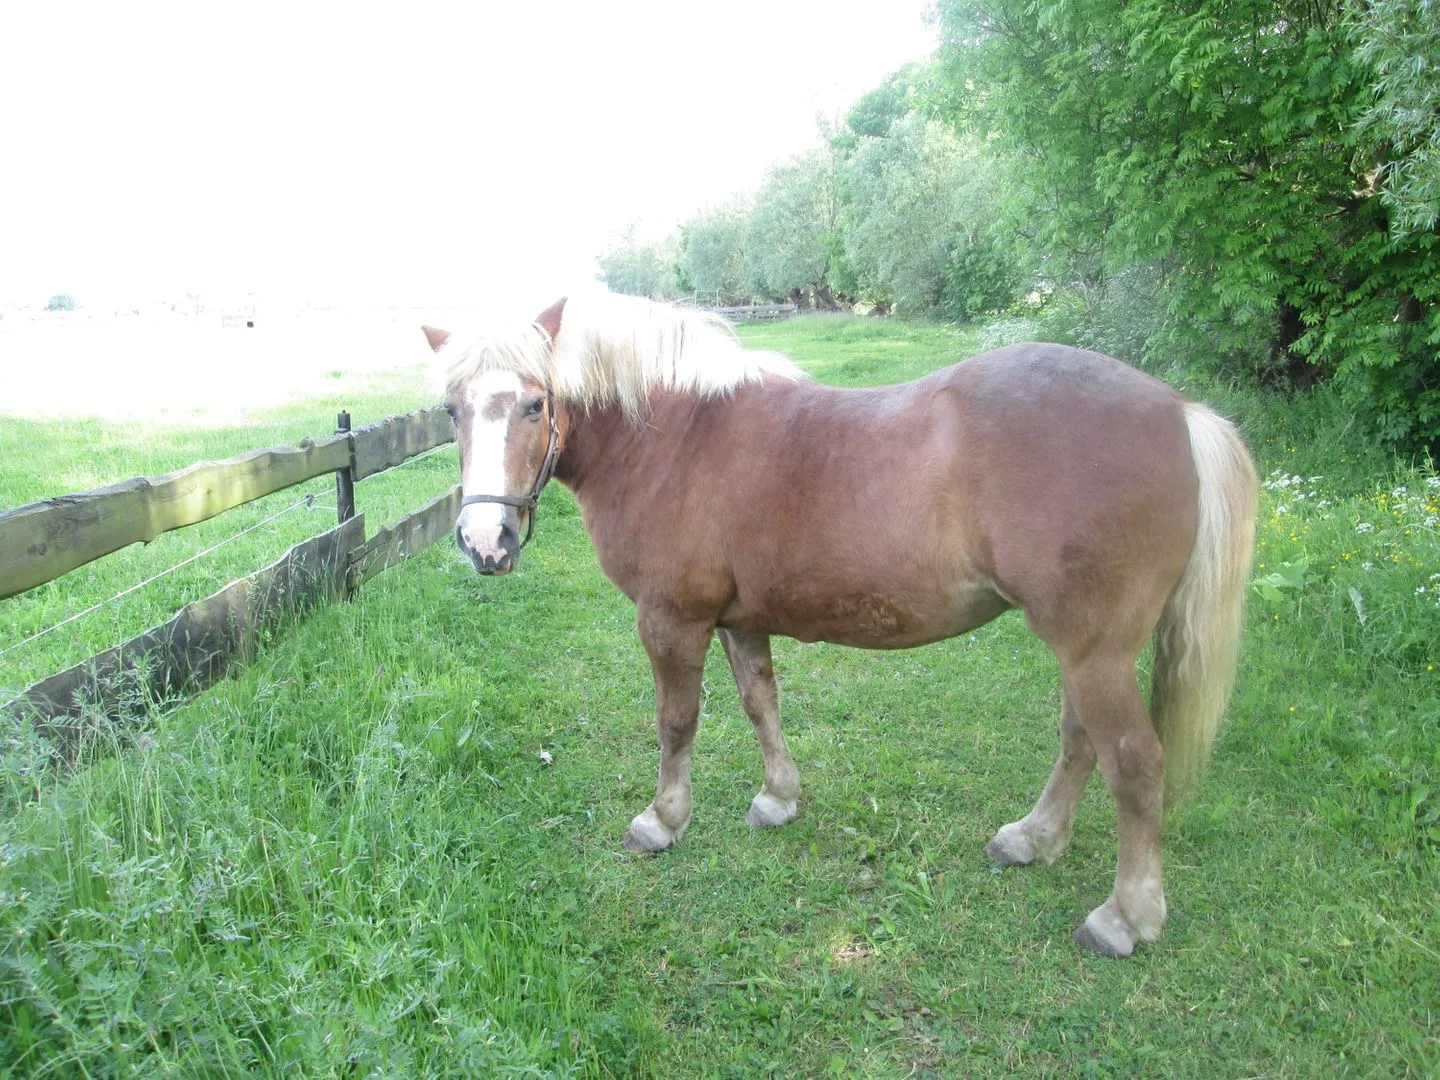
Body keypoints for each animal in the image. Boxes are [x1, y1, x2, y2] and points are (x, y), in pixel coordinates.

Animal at [424, 291, 1258, 957]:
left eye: (535, 403)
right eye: (452, 410)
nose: (485, 542)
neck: (677, 438)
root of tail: (1180, 411)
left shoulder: (671, 619)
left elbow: (677, 722)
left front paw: (663, 820)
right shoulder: (737, 617)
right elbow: (760, 702)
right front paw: (778, 799)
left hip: (1094, 651)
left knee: (1132, 763)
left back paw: (1125, 916)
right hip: (1086, 652)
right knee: (1081, 741)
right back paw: (1034, 839)